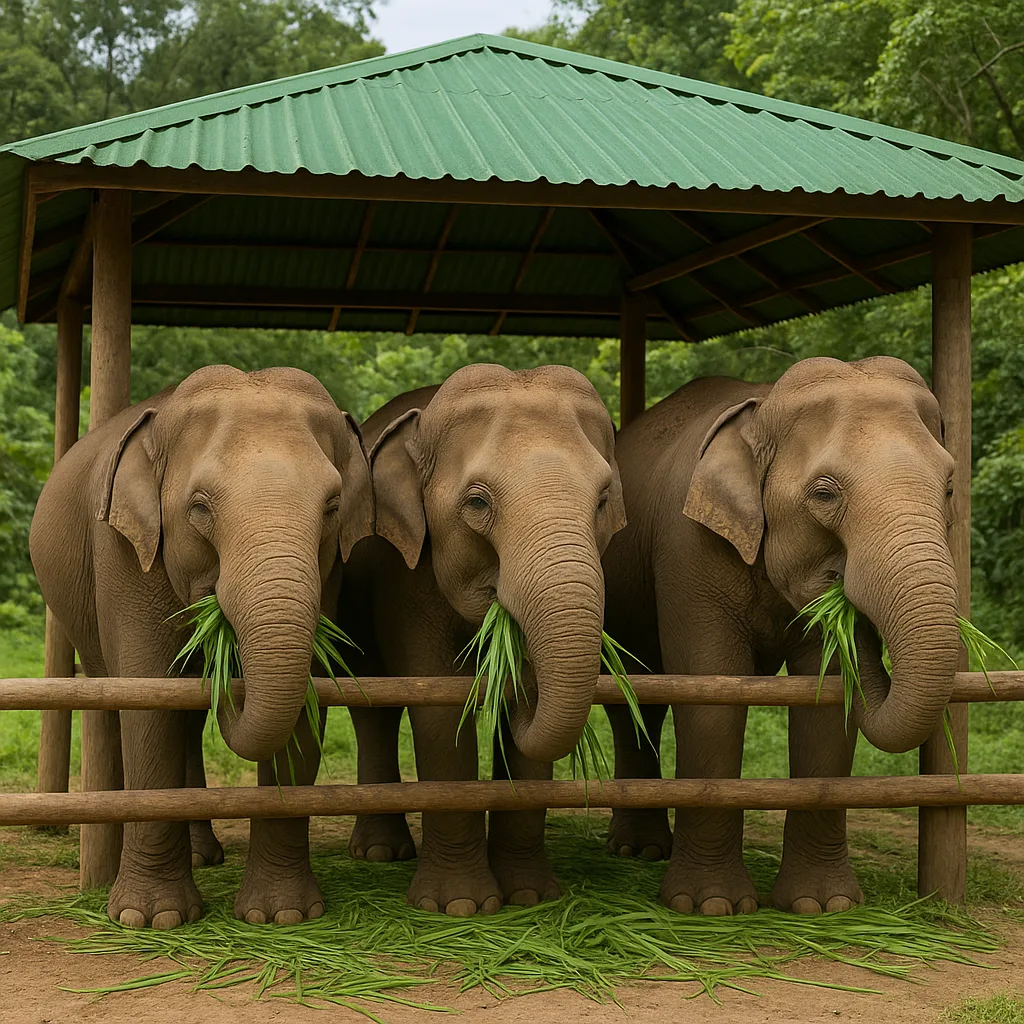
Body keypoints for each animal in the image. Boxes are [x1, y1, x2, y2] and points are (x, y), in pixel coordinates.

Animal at [30, 365, 373, 928]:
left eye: (333, 507)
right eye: (199, 508)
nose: (225, 658)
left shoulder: (334, 572)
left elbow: (309, 705)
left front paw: (282, 917)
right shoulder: (124, 552)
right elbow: (149, 700)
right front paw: (150, 919)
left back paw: (202, 855)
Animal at [337, 362, 626, 916]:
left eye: (602, 501)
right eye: (476, 502)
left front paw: (530, 896)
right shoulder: (406, 576)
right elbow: (438, 707)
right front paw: (458, 906)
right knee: (372, 706)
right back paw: (380, 853)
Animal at [602, 356, 960, 915]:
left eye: (948, 488)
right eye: (824, 494)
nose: (841, 589)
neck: (761, 410)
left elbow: (826, 705)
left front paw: (823, 906)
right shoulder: (688, 547)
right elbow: (712, 696)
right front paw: (709, 906)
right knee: (633, 696)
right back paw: (638, 851)